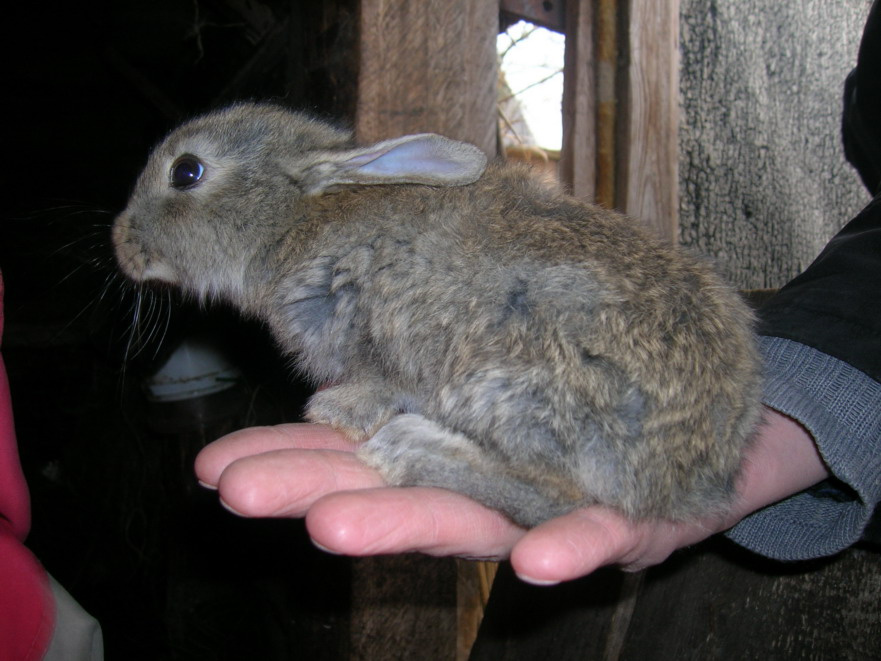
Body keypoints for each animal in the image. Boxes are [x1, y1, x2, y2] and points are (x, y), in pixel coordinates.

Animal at [112, 102, 762, 528]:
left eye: (187, 171)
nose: (120, 242)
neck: (298, 217)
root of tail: (699, 469)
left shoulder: (377, 328)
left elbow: (377, 383)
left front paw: (334, 412)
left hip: (515, 387)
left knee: (559, 497)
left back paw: (408, 450)